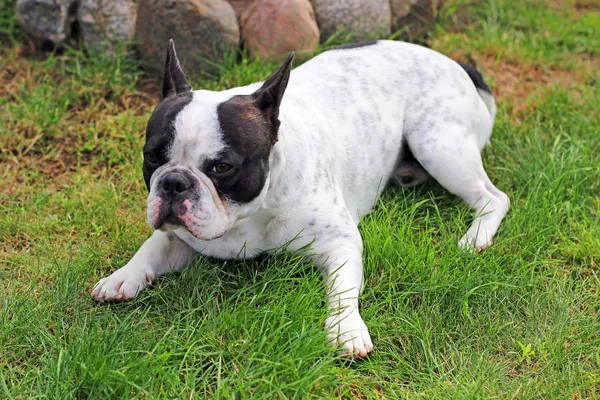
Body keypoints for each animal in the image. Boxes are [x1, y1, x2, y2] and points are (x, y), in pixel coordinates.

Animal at [90, 39, 510, 356]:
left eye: (222, 167)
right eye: (152, 157)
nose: (174, 182)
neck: (250, 214)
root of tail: (455, 64)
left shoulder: (341, 242)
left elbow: (342, 290)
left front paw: (346, 329)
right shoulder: (181, 235)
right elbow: (153, 246)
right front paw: (122, 276)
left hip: (437, 144)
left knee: (494, 197)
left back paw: (476, 236)